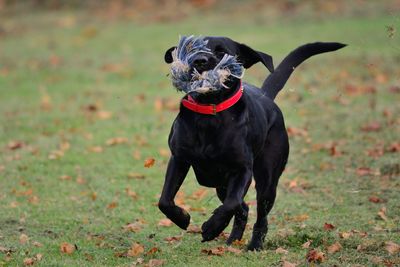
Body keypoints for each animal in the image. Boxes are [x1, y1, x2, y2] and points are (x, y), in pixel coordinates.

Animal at [158, 37, 346, 251]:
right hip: (222, 185)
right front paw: (182, 218)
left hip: (267, 181)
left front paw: (211, 228)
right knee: (243, 208)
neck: (209, 115)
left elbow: (231, 203)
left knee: (259, 216)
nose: (199, 60)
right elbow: (165, 200)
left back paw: (254, 244)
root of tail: (265, 95)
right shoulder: (179, 159)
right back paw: (233, 239)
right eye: (192, 48)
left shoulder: (242, 169)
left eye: (222, 51)